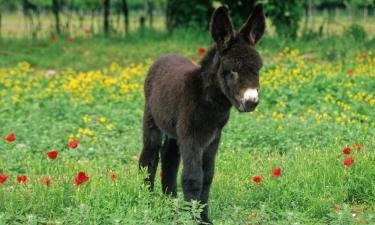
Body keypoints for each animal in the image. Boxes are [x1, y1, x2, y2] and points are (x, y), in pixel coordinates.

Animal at [140, 4, 266, 224]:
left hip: (175, 131)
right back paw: (147, 201)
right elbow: (192, 178)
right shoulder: (192, 136)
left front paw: (204, 218)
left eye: (258, 69)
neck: (208, 99)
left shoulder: (213, 138)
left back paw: (171, 204)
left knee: (169, 158)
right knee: (149, 157)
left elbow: (207, 177)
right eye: (233, 70)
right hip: (152, 120)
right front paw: (192, 218)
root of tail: (165, 56)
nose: (251, 102)